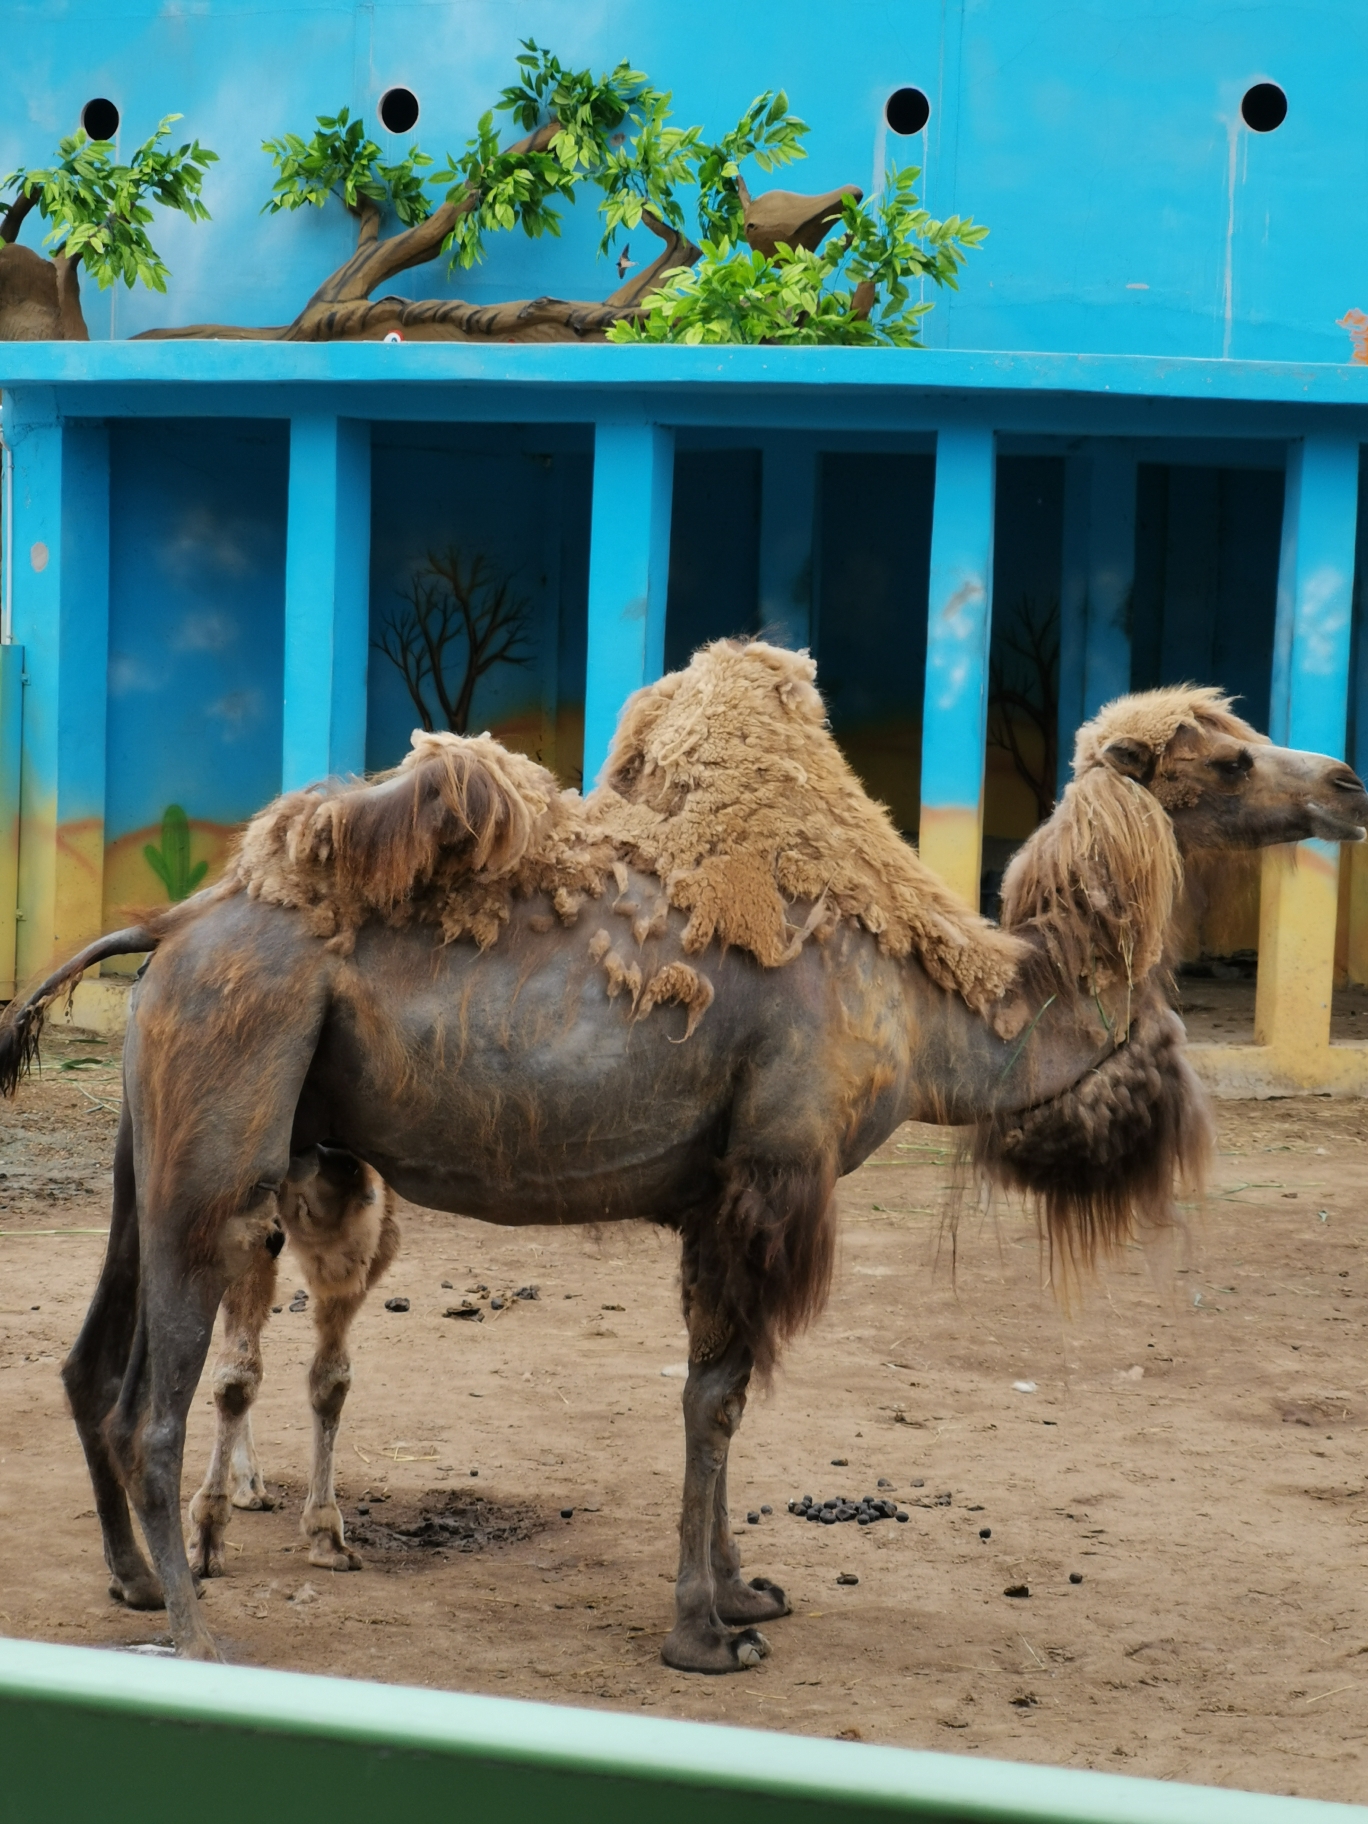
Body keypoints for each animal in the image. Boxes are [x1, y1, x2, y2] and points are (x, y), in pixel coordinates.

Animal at [5, 638, 1364, 1670]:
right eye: (1231, 752)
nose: (1348, 782)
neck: (939, 1006)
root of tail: (174, 924)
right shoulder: (776, 1164)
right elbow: (715, 1398)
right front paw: (706, 1633)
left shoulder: (718, 1197)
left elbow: (727, 1393)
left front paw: (745, 1591)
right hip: (225, 1127)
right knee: (155, 1396)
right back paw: (195, 1630)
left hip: (154, 1131)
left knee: (93, 1361)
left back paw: (133, 1582)